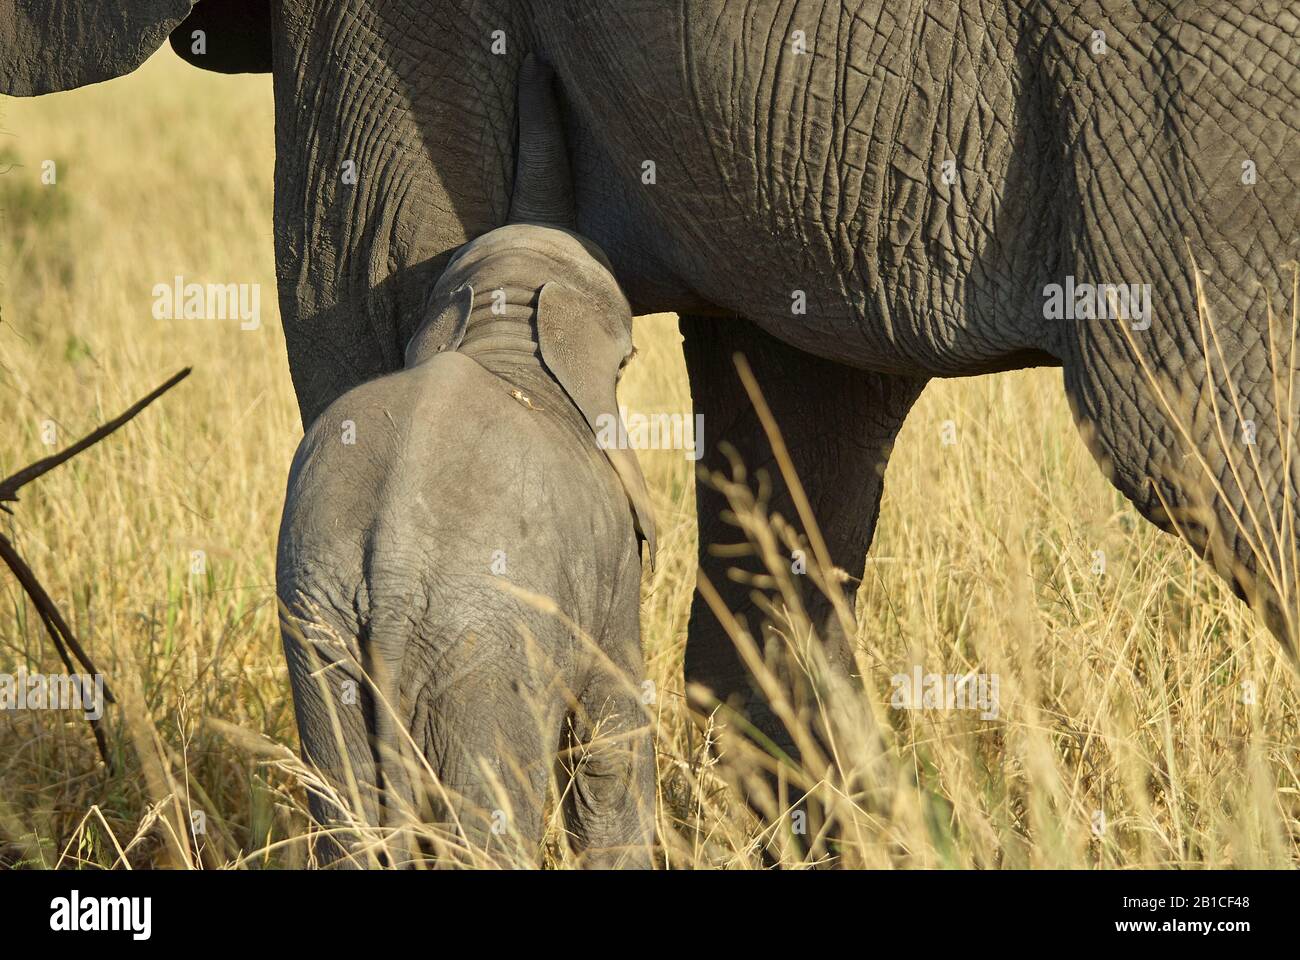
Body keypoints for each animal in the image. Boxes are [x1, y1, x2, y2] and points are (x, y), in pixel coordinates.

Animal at [275, 58, 656, 867]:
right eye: (630, 359)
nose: (538, 64)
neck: (502, 330)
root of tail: (388, 578)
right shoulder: (610, 561)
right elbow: (609, 736)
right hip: (482, 652)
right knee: (488, 820)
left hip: (323, 636)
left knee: (346, 808)